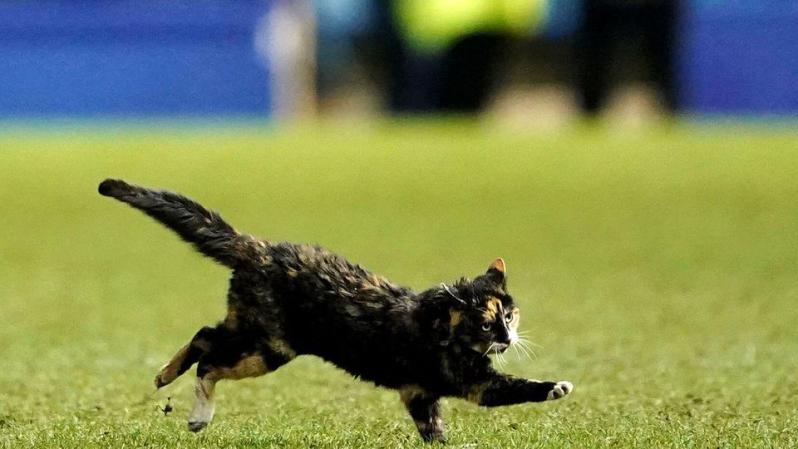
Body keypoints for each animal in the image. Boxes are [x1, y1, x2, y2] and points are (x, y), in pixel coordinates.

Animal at [98, 178, 576, 440]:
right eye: (485, 323)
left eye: (509, 315)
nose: (508, 337)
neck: (441, 325)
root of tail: (261, 248)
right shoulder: (473, 382)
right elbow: (513, 387)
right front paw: (556, 386)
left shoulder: (418, 392)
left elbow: (433, 430)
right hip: (269, 343)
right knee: (207, 350)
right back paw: (182, 395)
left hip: (259, 337)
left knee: (206, 342)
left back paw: (174, 387)